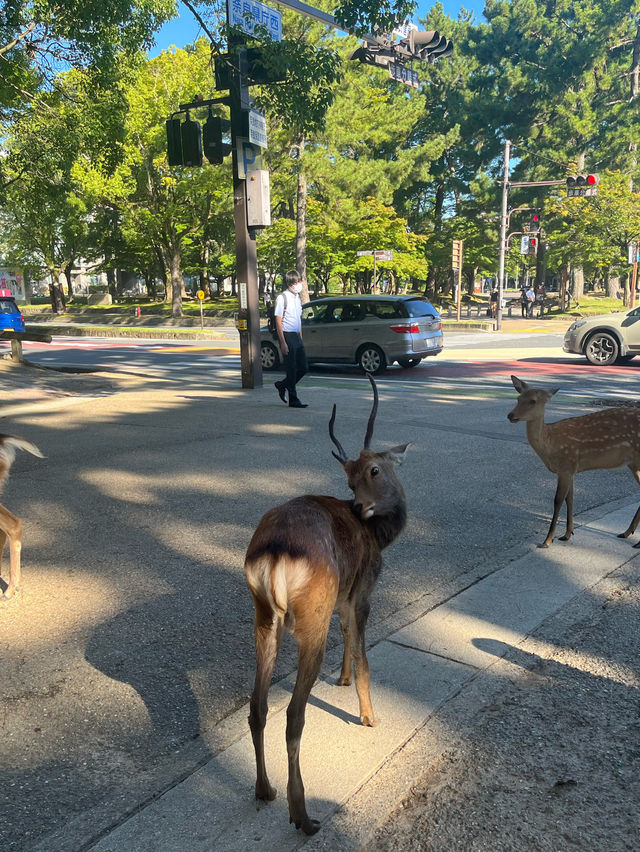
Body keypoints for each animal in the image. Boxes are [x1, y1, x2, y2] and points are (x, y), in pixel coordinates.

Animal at [242, 376, 408, 836]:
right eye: (349, 481)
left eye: (371, 471)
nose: (360, 507)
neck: (380, 538)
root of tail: (274, 552)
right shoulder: (363, 591)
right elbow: (364, 652)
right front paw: (369, 715)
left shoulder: (341, 601)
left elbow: (347, 638)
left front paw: (342, 680)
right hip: (308, 620)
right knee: (294, 715)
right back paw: (303, 814)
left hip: (265, 616)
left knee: (257, 706)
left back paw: (264, 790)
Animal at [510, 376, 640, 548]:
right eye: (518, 398)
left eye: (532, 401)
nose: (510, 415)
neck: (550, 446)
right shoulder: (570, 469)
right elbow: (570, 498)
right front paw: (567, 534)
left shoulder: (566, 464)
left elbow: (558, 500)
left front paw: (547, 540)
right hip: (633, 464)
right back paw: (626, 532)